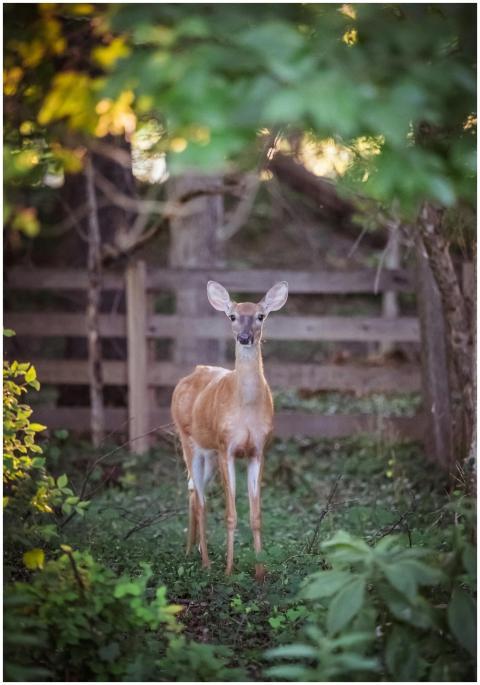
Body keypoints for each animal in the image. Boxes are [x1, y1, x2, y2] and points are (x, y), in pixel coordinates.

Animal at [171, 280, 288, 581]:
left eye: (261, 316)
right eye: (232, 316)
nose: (245, 337)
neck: (245, 409)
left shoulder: (258, 449)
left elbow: (256, 515)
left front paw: (260, 571)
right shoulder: (227, 447)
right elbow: (231, 514)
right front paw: (228, 570)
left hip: (209, 454)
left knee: (192, 491)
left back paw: (190, 551)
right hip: (188, 441)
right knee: (201, 500)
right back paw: (206, 563)